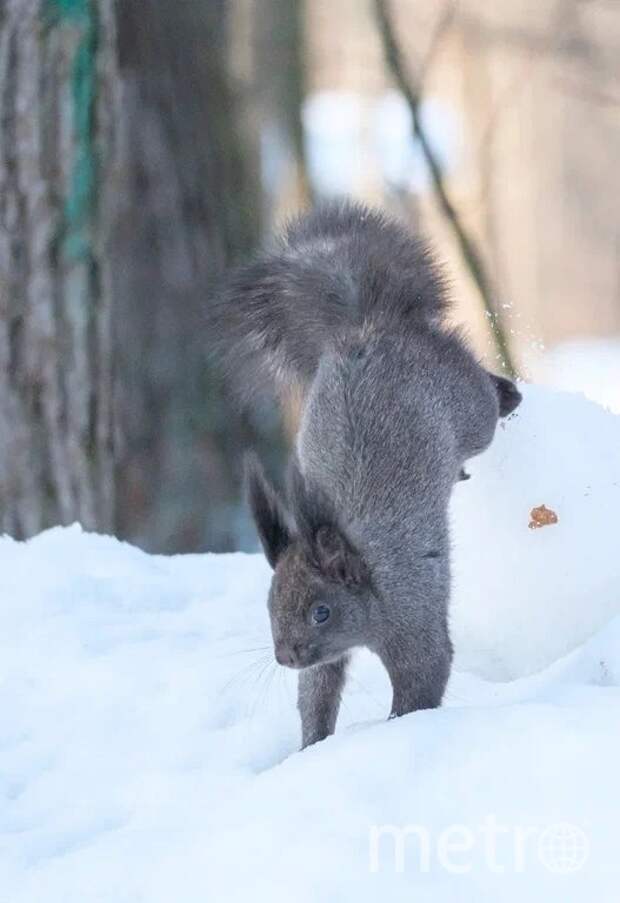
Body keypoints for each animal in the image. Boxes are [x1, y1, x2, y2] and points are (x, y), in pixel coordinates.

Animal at [211, 203, 520, 748]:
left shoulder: (411, 612)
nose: (285, 656)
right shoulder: (324, 661)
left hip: (467, 409)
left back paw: (508, 393)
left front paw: (397, 731)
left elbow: (424, 676)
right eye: (269, 605)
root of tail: (366, 327)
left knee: (480, 392)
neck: (366, 581)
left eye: (322, 611)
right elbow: (316, 694)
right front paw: (312, 747)